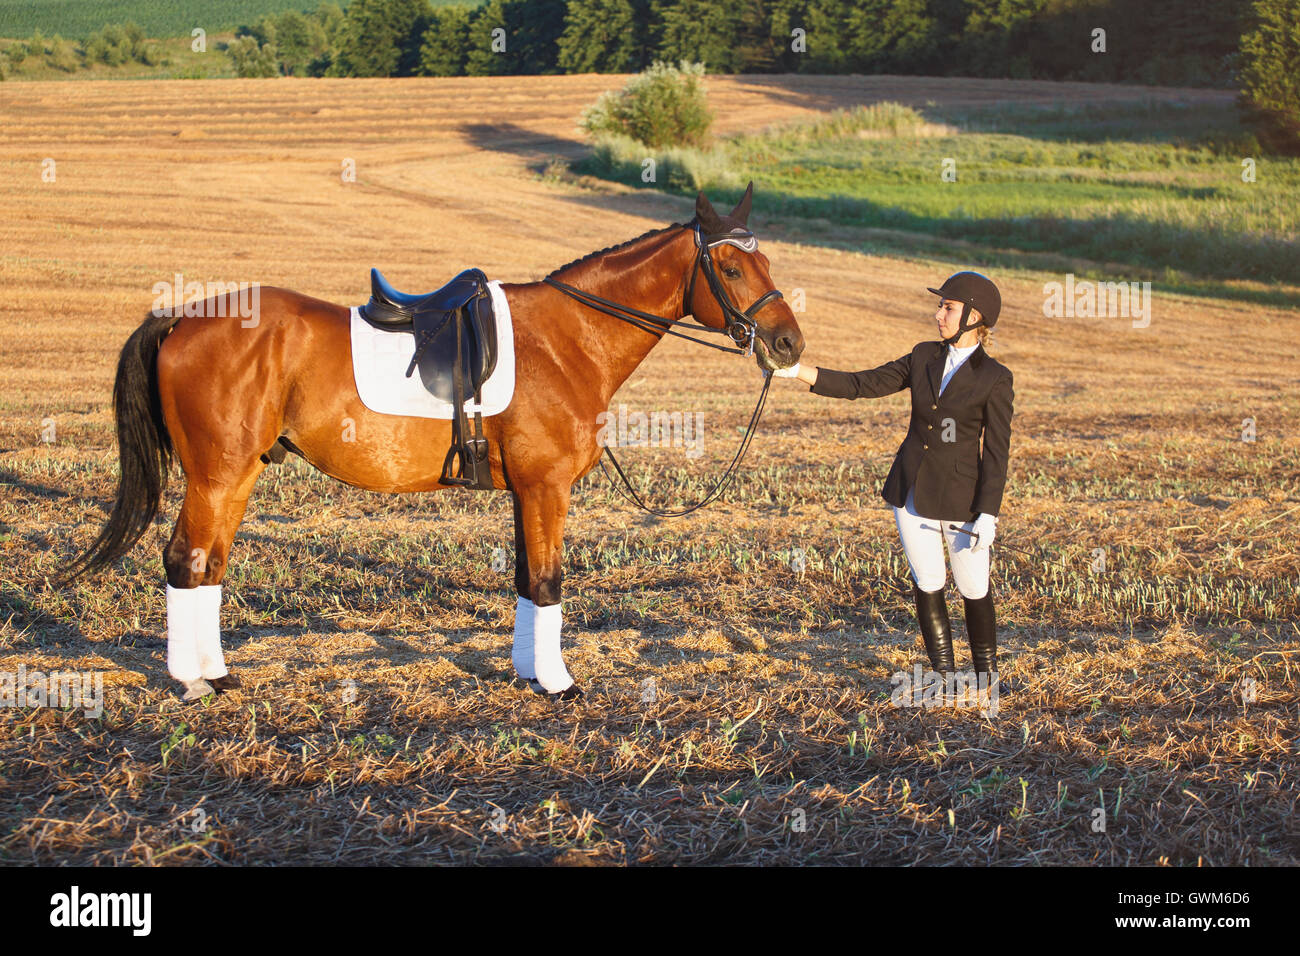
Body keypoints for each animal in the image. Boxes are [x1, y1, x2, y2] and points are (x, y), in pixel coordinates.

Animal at [68, 183, 811, 697]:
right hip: (216, 475)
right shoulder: (546, 487)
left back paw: (217, 674)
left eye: (769, 261)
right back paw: (192, 682)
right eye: (732, 269)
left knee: (208, 565)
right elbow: (549, 581)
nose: (788, 344)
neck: (566, 338)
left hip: (238, 474)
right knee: (183, 561)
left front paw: (527, 673)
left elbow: (525, 578)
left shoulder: (525, 492)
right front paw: (559, 684)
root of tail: (178, 318)